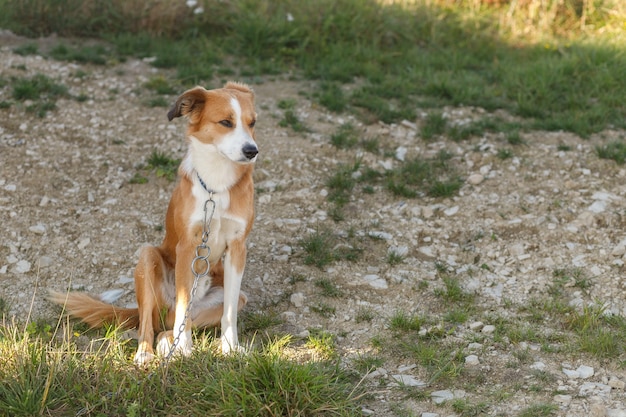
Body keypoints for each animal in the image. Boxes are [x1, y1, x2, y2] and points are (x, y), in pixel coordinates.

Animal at [48, 82, 258, 364]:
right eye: (226, 122)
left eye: (252, 122)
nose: (252, 151)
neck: (216, 186)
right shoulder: (188, 247)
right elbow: (184, 304)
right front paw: (184, 349)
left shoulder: (237, 248)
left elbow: (230, 312)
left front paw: (230, 348)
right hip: (148, 259)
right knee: (151, 323)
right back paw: (146, 353)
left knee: (169, 324)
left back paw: (168, 343)